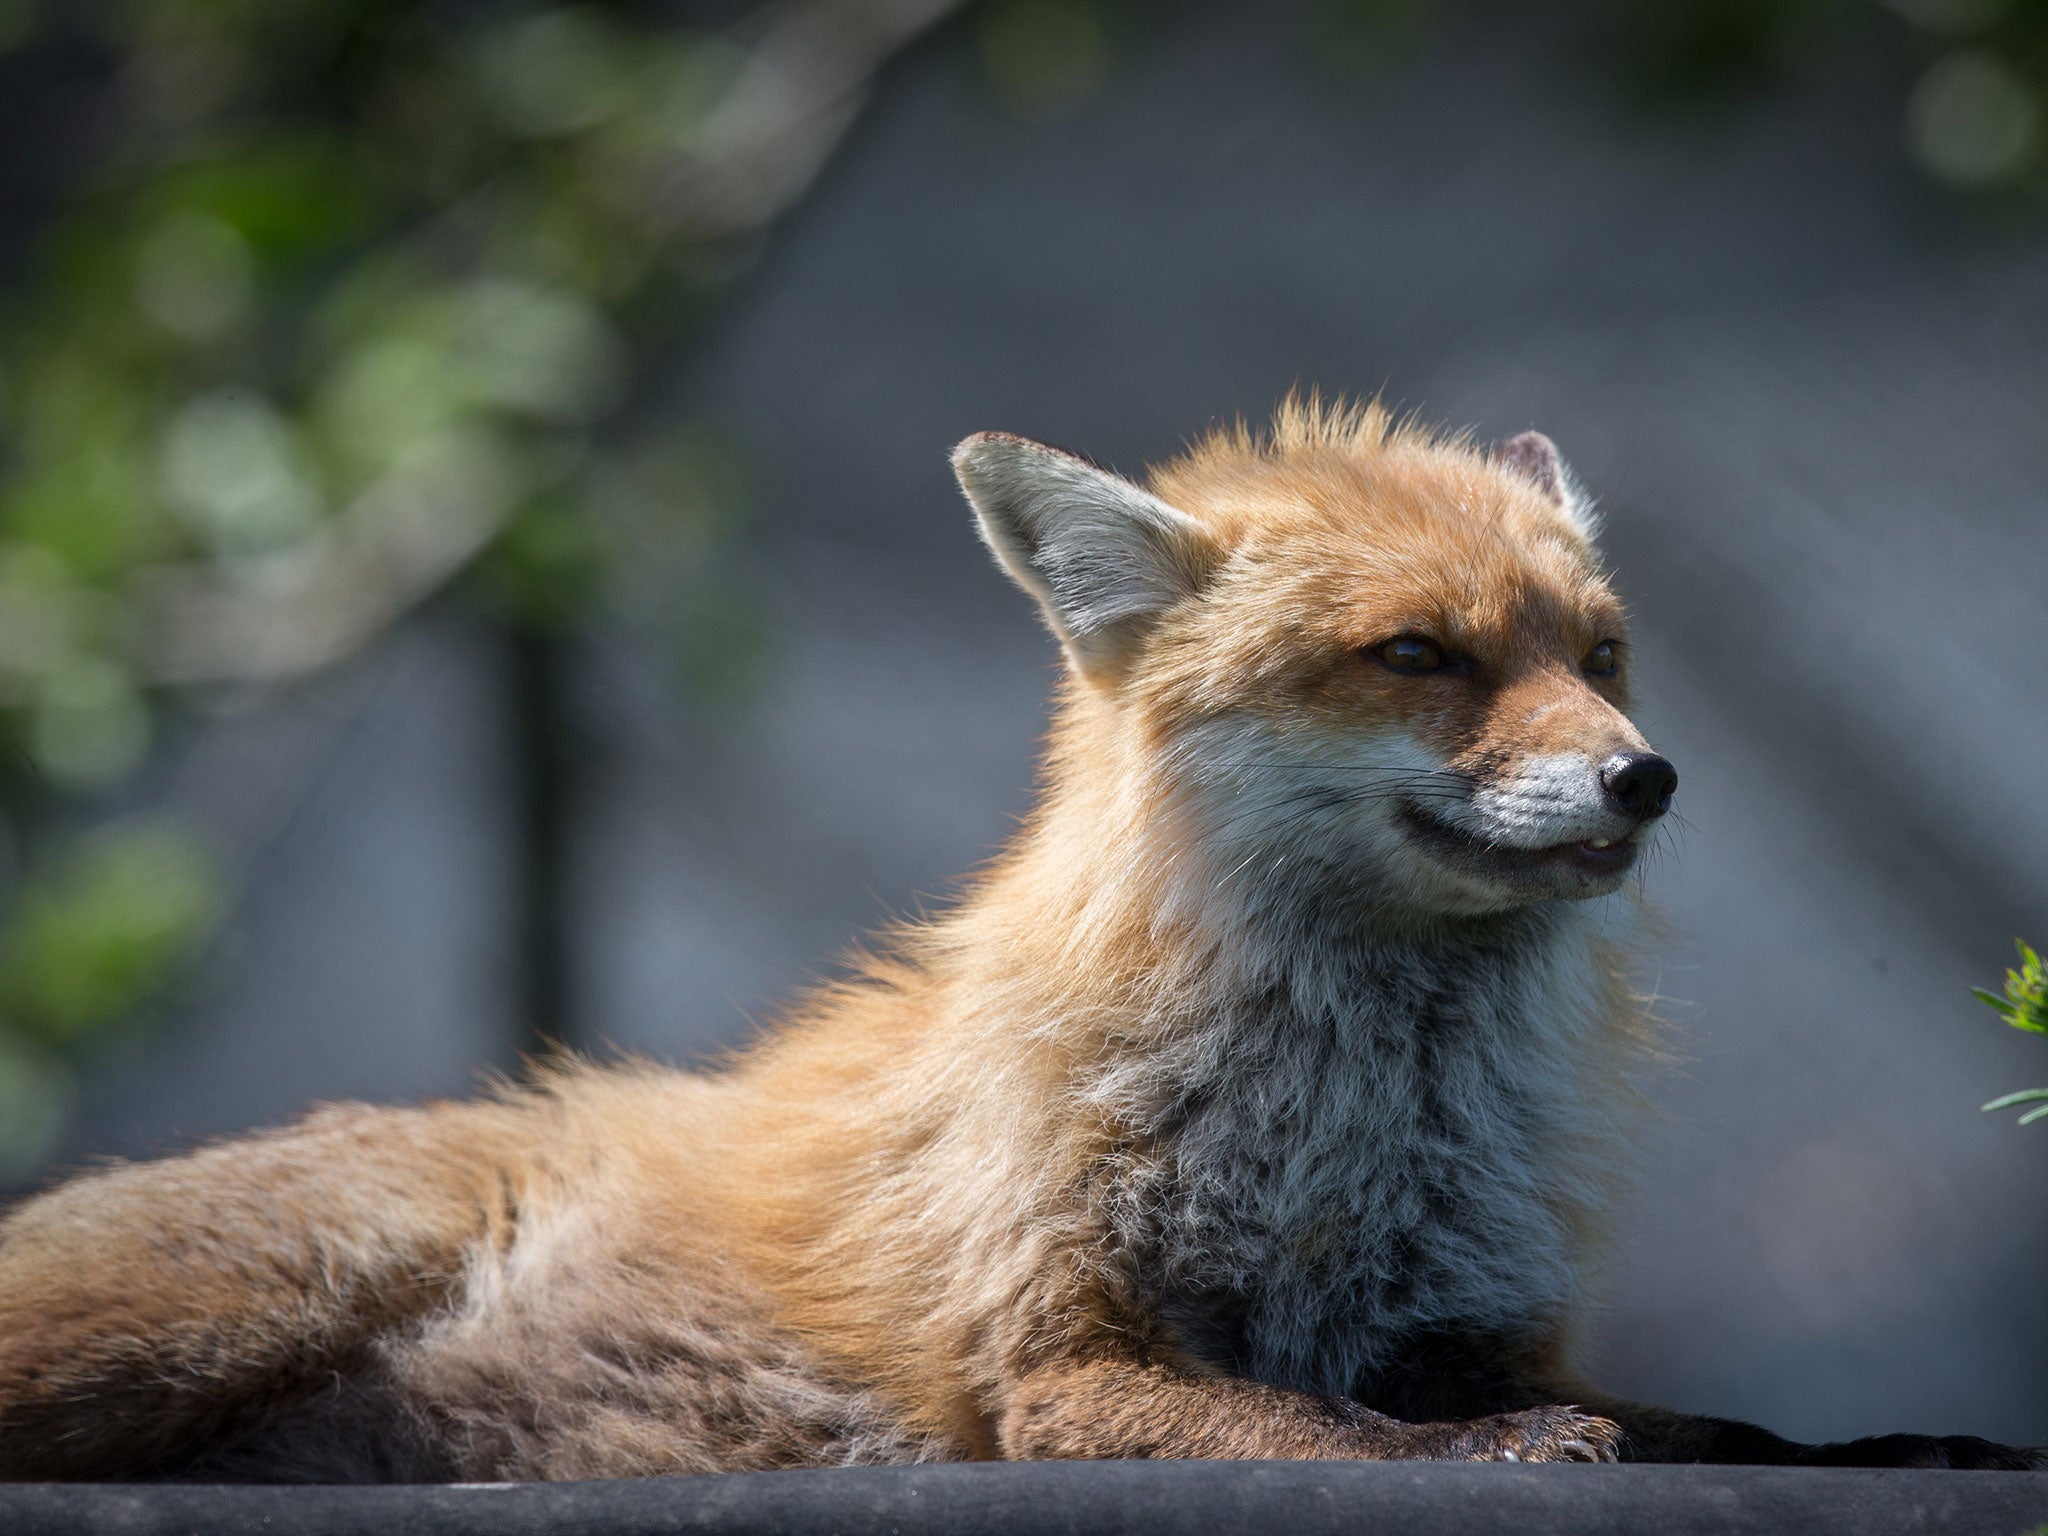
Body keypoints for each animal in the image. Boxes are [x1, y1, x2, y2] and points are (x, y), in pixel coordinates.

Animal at [0, 399, 2031, 1482]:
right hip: (202, 1318)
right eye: (1418, 657)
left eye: (1598, 652)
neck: (1351, 1129)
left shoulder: (1476, 1324)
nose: (1644, 775)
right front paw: (1488, 1466)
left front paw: (1928, 1451)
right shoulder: (1055, 1354)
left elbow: (1743, 1440)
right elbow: (1352, 1436)